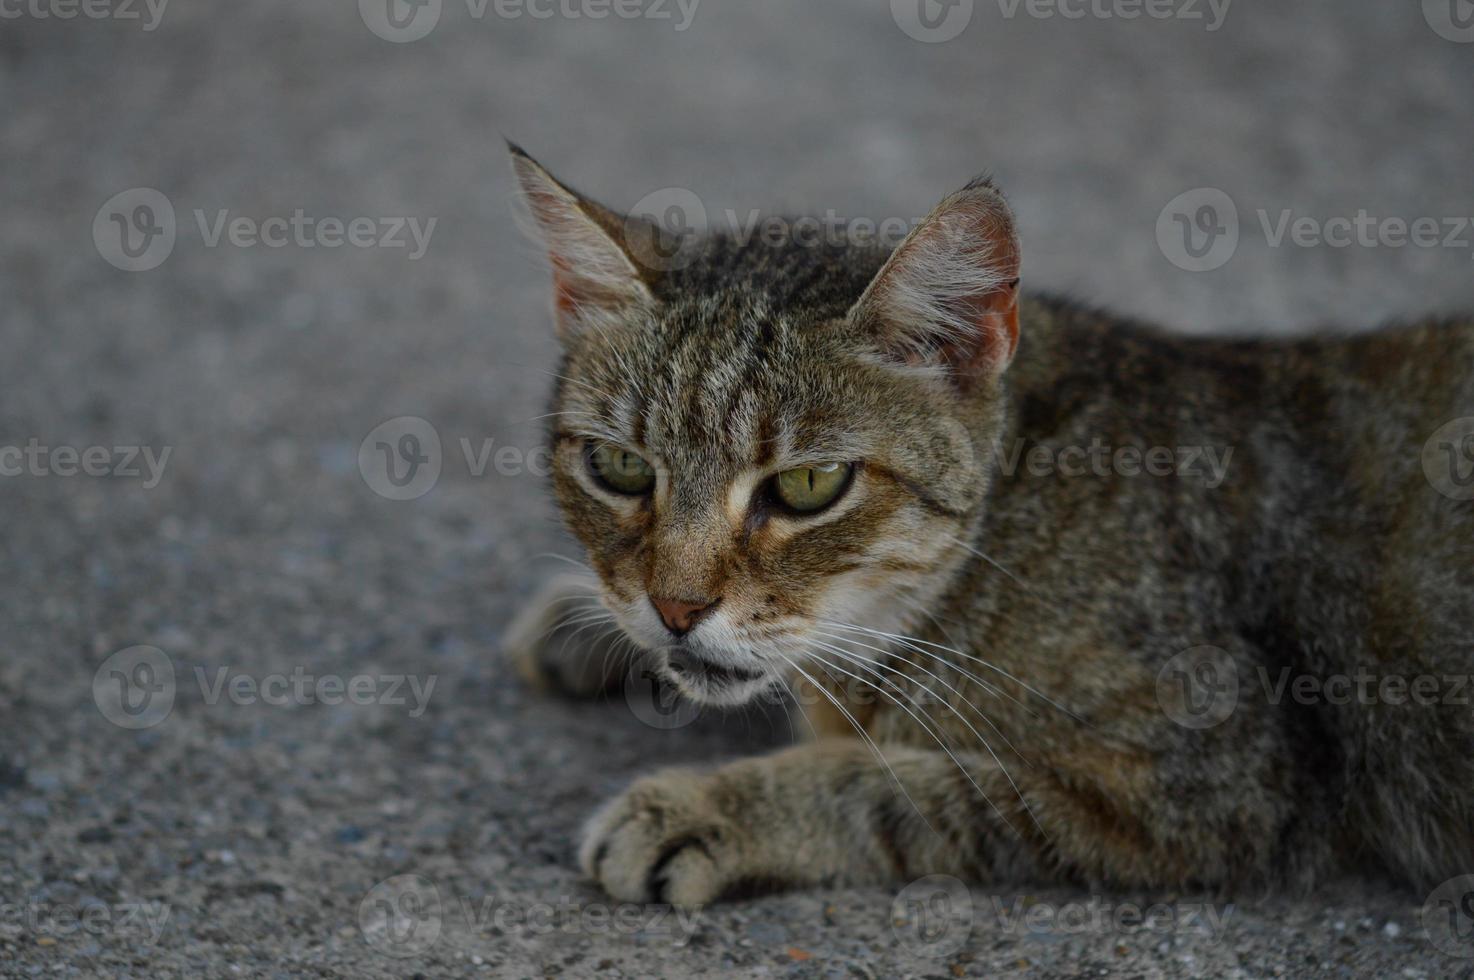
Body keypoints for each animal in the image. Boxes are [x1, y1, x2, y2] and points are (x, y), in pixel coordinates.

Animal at [504, 145, 1474, 907]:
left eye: (809, 485)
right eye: (621, 468)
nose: (673, 609)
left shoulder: (1208, 784)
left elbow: (891, 786)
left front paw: (713, 809)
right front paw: (588, 622)